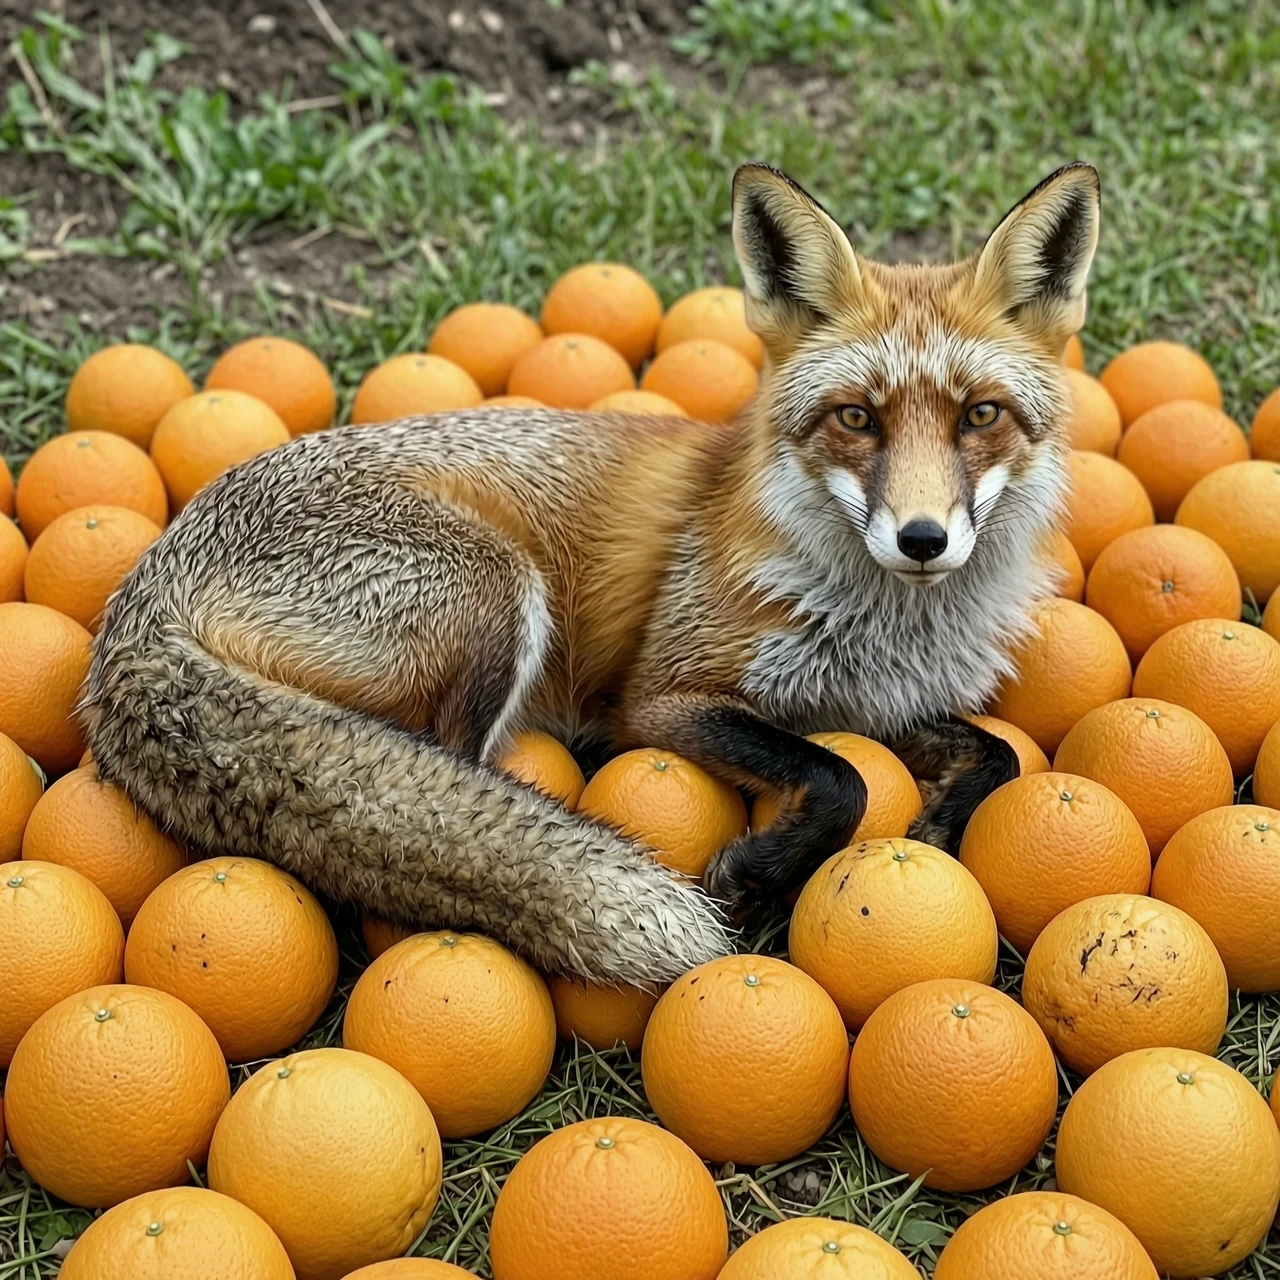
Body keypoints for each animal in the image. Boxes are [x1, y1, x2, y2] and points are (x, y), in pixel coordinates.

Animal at [81, 161, 1100, 987]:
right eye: (857, 418)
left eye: (980, 415)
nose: (923, 539)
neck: (885, 623)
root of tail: (144, 588)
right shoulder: (663, 697)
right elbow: (841, 778)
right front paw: (757, 871)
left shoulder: (862, 701)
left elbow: (998, 754)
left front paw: (939, 820)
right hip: (499, 594)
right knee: (437, 798)